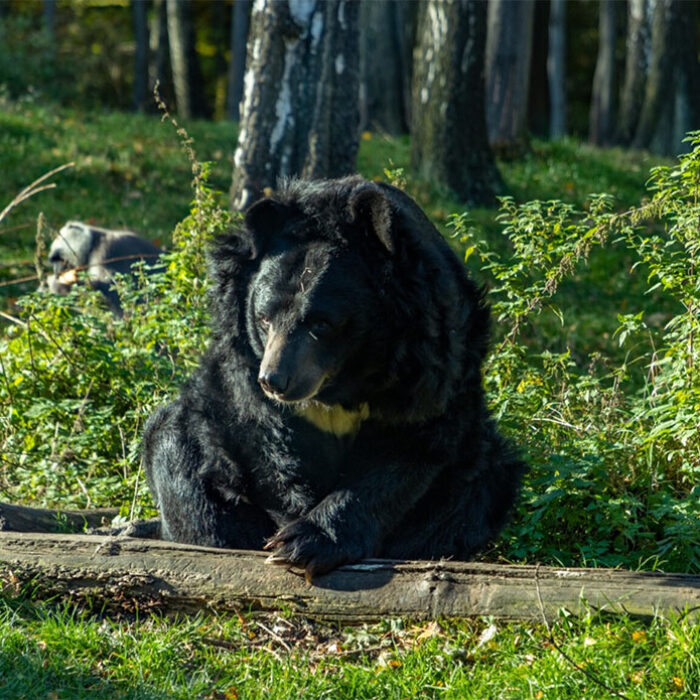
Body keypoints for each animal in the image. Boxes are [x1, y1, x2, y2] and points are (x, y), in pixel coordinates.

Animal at [142, 176, 526, 578]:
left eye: (321, 324)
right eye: (263, 318)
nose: (274, 381)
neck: (344, 380)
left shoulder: (430, 360)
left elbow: (410, 447)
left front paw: (305, 541)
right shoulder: (242, 366)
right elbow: (264, 438)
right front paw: (284, 534)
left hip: (480, 472)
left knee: (477, 493)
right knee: (179, 457)